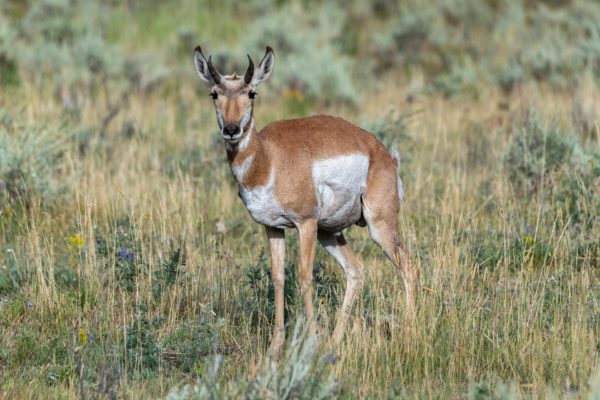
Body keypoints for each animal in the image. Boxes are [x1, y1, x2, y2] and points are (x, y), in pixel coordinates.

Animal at [195, 45, 420, 354]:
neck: (268, 157)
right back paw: (334, 343)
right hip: (330, 233)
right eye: (214, 93)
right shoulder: (273, 228)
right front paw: (275, 347)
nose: (231, 129)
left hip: (378, 226)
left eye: (252, 93)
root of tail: (382, 152)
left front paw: (310, 342)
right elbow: (278, 278)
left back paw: (409, 332)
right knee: (356, 270)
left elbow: (304, 278)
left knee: (408, 267)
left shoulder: (306, 224)